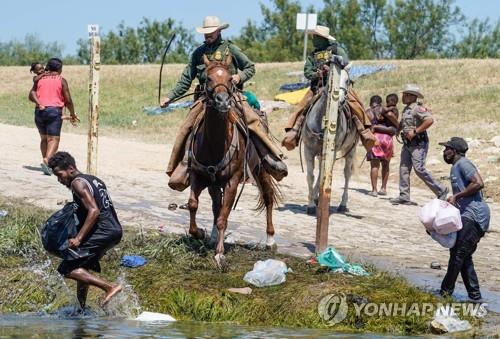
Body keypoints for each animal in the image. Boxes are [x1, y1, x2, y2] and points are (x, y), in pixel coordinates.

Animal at [188, 54, 282, 270]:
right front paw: (201, 233)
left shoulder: (232, 181)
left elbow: (224, 217)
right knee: (216, 206)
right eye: (207, 78)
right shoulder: (200, 176)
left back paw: (270, 240)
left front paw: (219, 255)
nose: (222, 101)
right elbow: (194, 205)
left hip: (260, 169)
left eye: (230, 78)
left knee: (268, 197)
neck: (214, 144)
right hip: (215, 183)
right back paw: (213, 236)